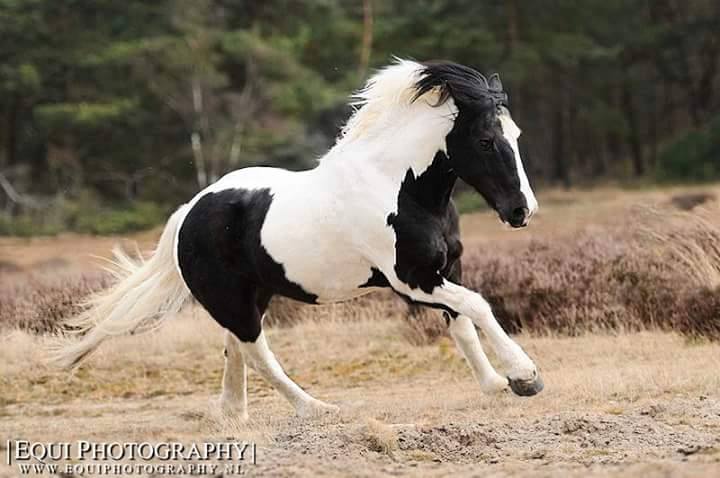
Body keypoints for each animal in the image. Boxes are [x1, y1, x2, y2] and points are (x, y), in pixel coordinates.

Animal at [55, 59, 542, 418]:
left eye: (517, 135)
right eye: (485, 140)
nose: (522, 211)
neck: (400, 190)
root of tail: (189, 212)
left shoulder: (446, 269)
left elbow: (462, 324)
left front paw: (496, 384)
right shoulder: (413, 281)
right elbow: (478, 306)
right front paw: (524, 376)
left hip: (252, 294)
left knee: (235, 349)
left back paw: (234, 414)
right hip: (232, 300)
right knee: (256, 351)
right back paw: (315, 408)